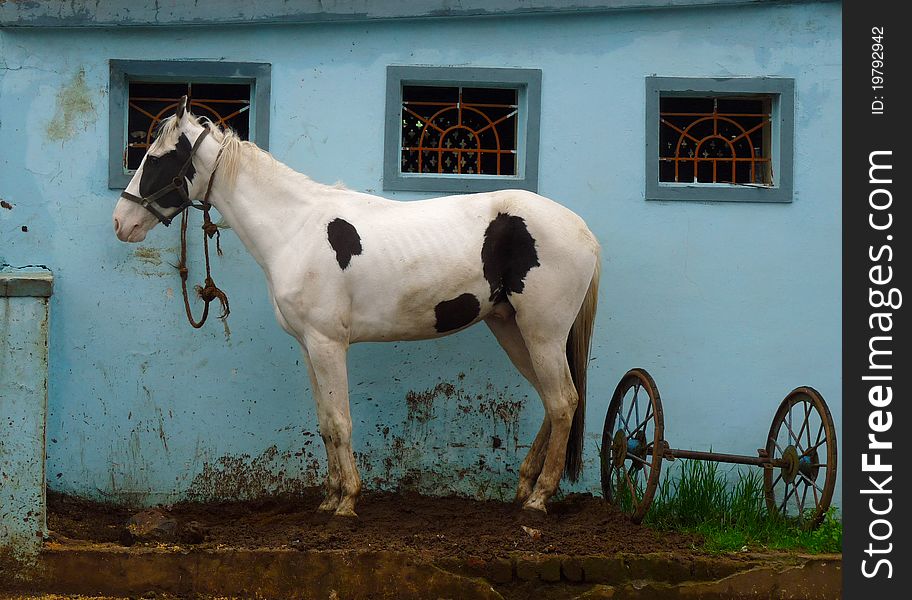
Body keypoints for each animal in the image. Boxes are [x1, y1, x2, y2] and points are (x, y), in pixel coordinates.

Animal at [114, 98, 600, 516]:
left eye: (157, 158)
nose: (121, 222)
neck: (294, 229)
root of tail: (582, 231)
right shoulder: (309, 346)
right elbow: (325, 422)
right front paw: (330, 498)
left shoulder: (328, 344)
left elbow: (340, 421)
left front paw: (347, 501)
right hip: (511, 328)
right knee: (551, 399)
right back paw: (524, 486)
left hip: (543, 333)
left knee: (563, 402)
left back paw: (538, 498)